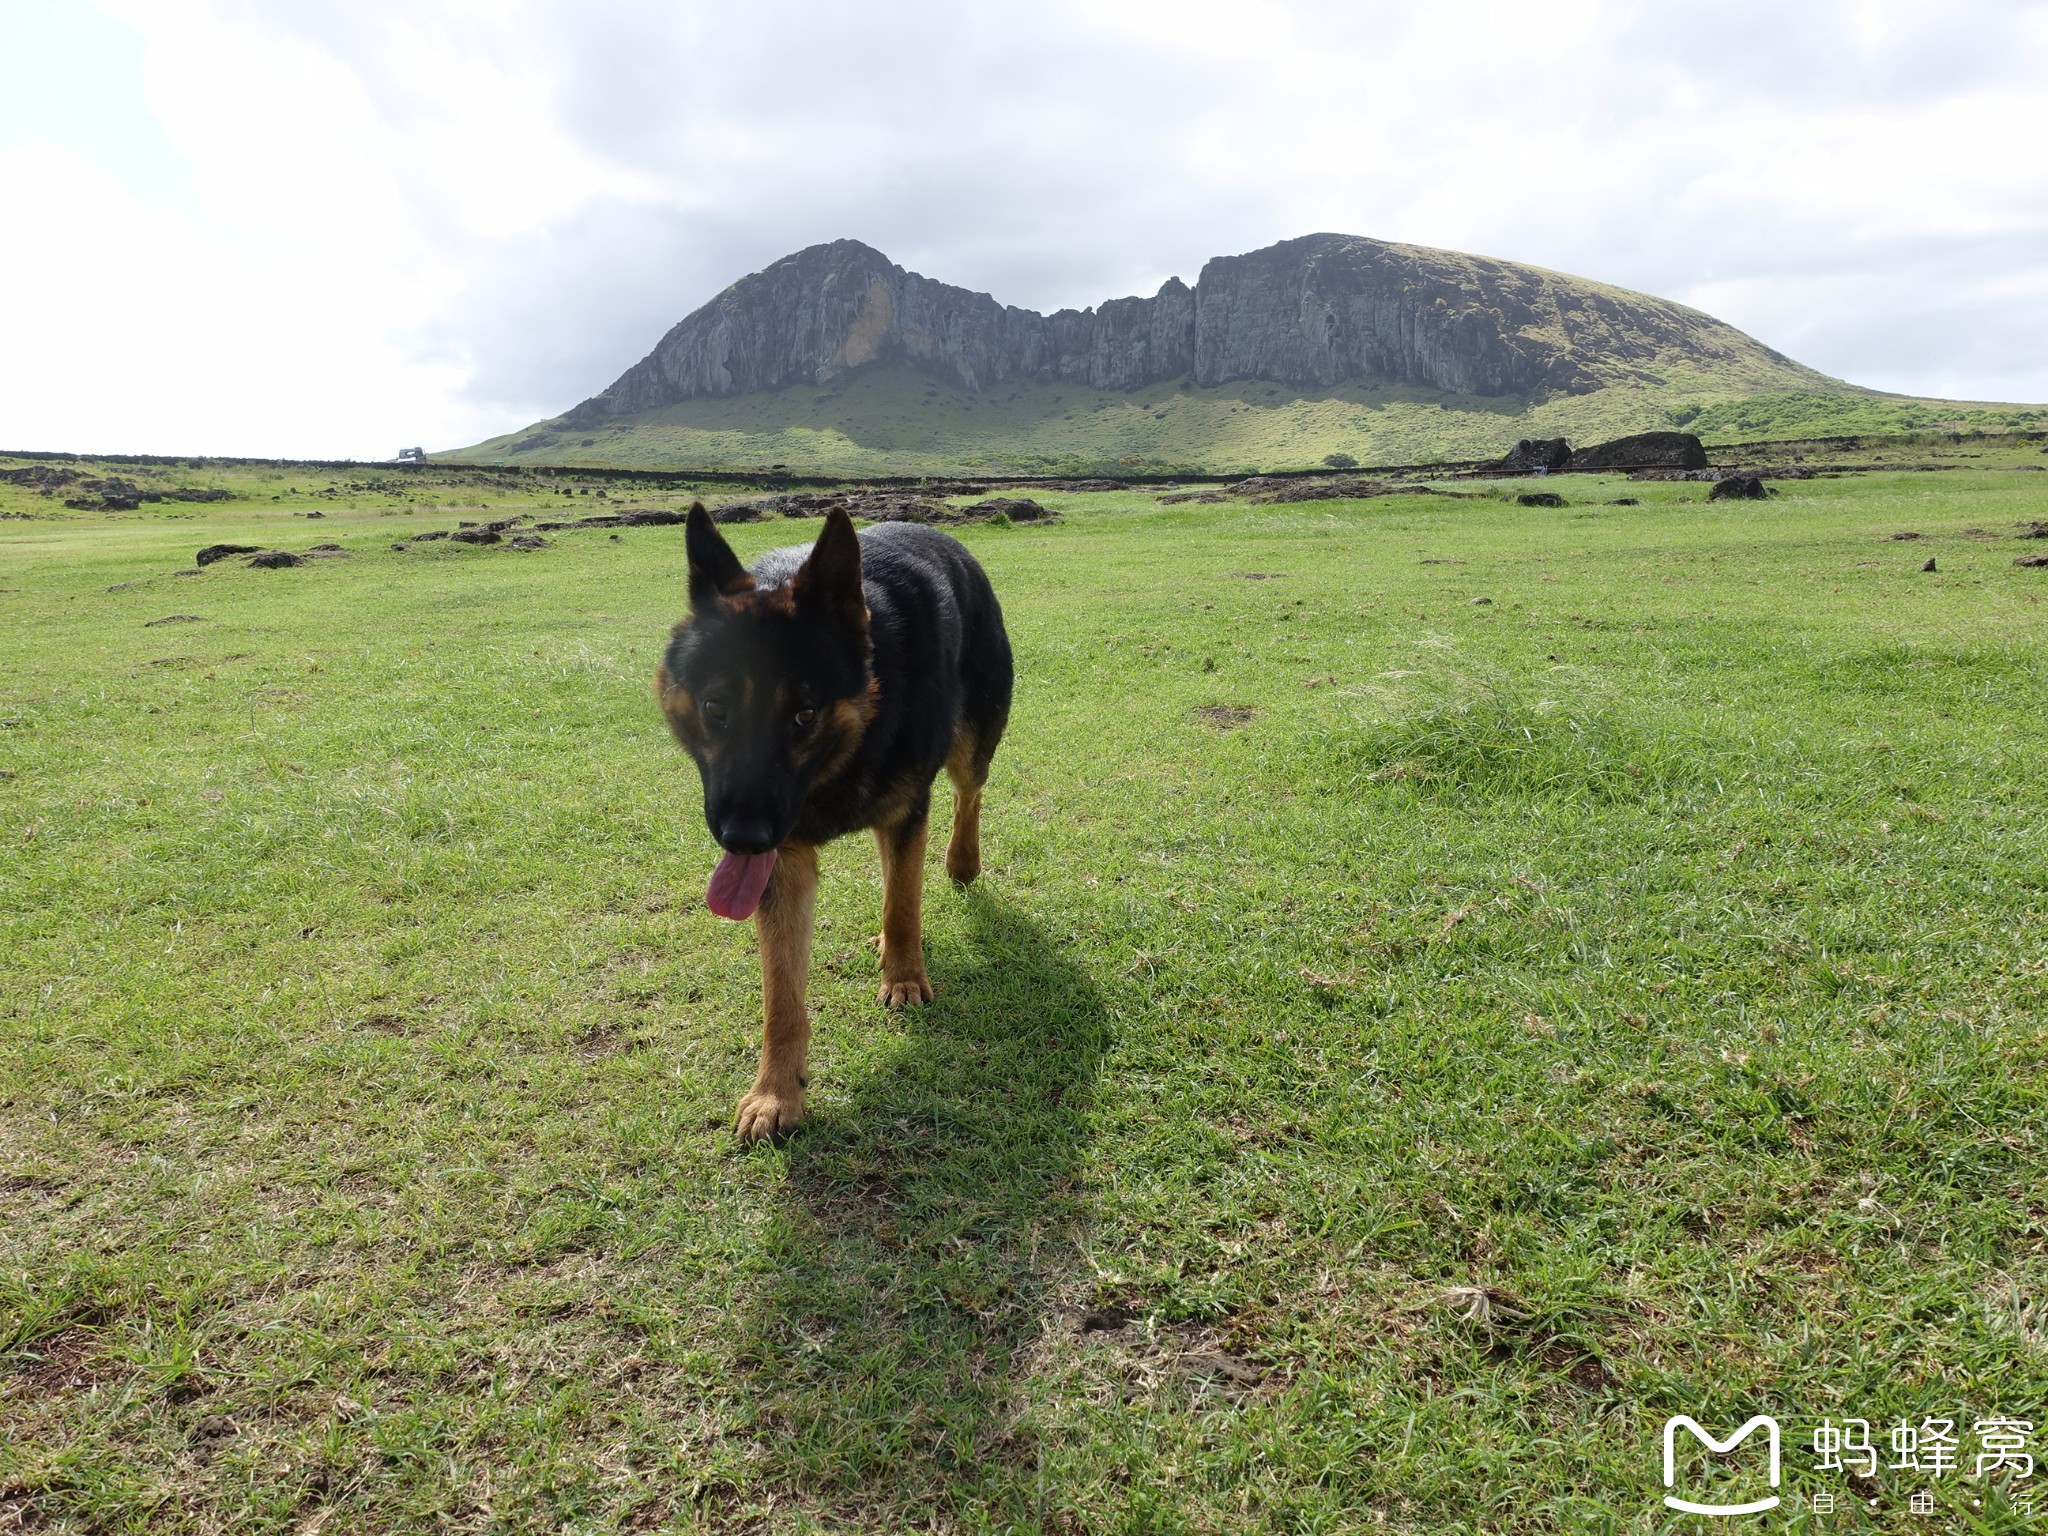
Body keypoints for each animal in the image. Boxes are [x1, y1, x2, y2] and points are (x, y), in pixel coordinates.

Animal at [651, 505, 1011, 1146]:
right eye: (716, 708)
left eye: (805, 714)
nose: (742, 839)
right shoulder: (783, 858)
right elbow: (782, 997)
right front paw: (776, 1092)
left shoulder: (906, 809)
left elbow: (904, 903)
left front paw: (905, 978)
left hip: (972, 742)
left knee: (967, 795)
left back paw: (960, 865)